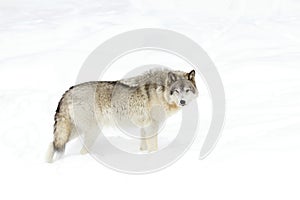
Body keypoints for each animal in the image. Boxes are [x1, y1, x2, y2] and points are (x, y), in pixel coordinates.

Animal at [45, 68, 198, 162]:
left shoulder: (144, 127)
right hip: (90, 130)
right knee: (77, 150)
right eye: (176, 91)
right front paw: (154, 157)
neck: (161, 93)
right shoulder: (152, 126)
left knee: (52, 144)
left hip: (76, 131)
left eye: (187, 90)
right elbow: (153, 147)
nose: (182, 101)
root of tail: (68, 91)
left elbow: (143, 146)